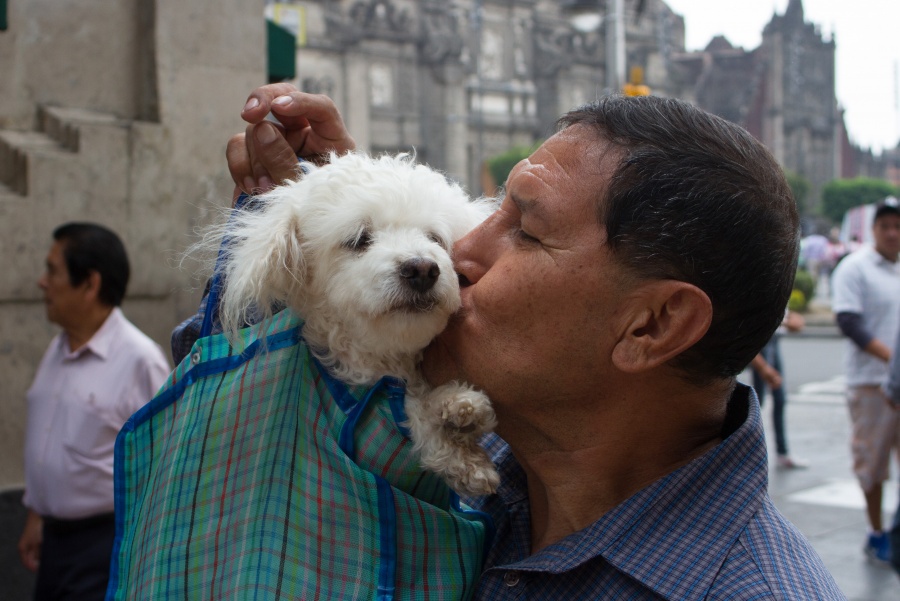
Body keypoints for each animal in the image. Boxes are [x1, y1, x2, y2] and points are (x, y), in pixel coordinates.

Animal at [215, 152, 502, 494]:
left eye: (434, 238)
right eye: (358, 240)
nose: (422, 270)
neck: (386, 360)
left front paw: (457, 415)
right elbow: (410, 406)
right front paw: (452, 426)